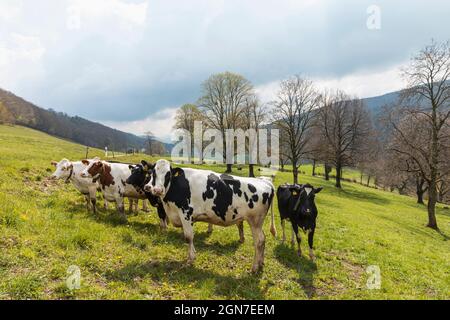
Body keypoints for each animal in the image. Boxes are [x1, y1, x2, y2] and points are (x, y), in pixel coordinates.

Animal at [144, 159, 278, 272]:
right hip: (257, 222)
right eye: (153, 173)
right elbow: (187, 237)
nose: (157, 190)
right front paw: (192, 254)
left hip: (255, 221)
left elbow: (188, 237)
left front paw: (190, 259)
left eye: (168, 174)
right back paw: (260, 264)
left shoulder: (186, 213)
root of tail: (265, 181)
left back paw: (254, 268)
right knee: (263, 239)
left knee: (259, 241)